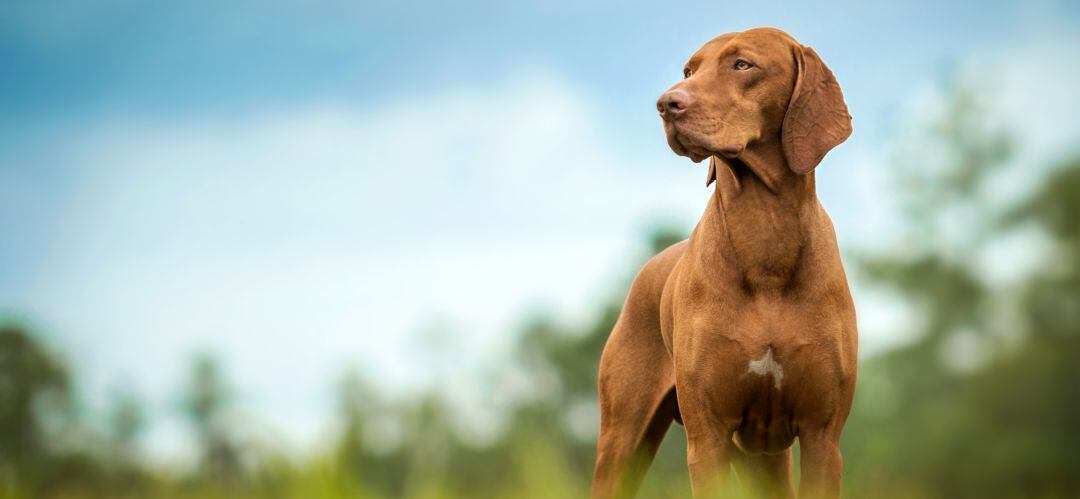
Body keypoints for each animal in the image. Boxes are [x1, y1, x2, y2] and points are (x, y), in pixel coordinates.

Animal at [587, 28, 855, 499]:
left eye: (742, 65)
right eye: (688, 71)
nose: (666, 103)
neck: (764, 237)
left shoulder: (822, 437)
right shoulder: (707, 437)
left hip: (764, 457)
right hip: (624, 439)